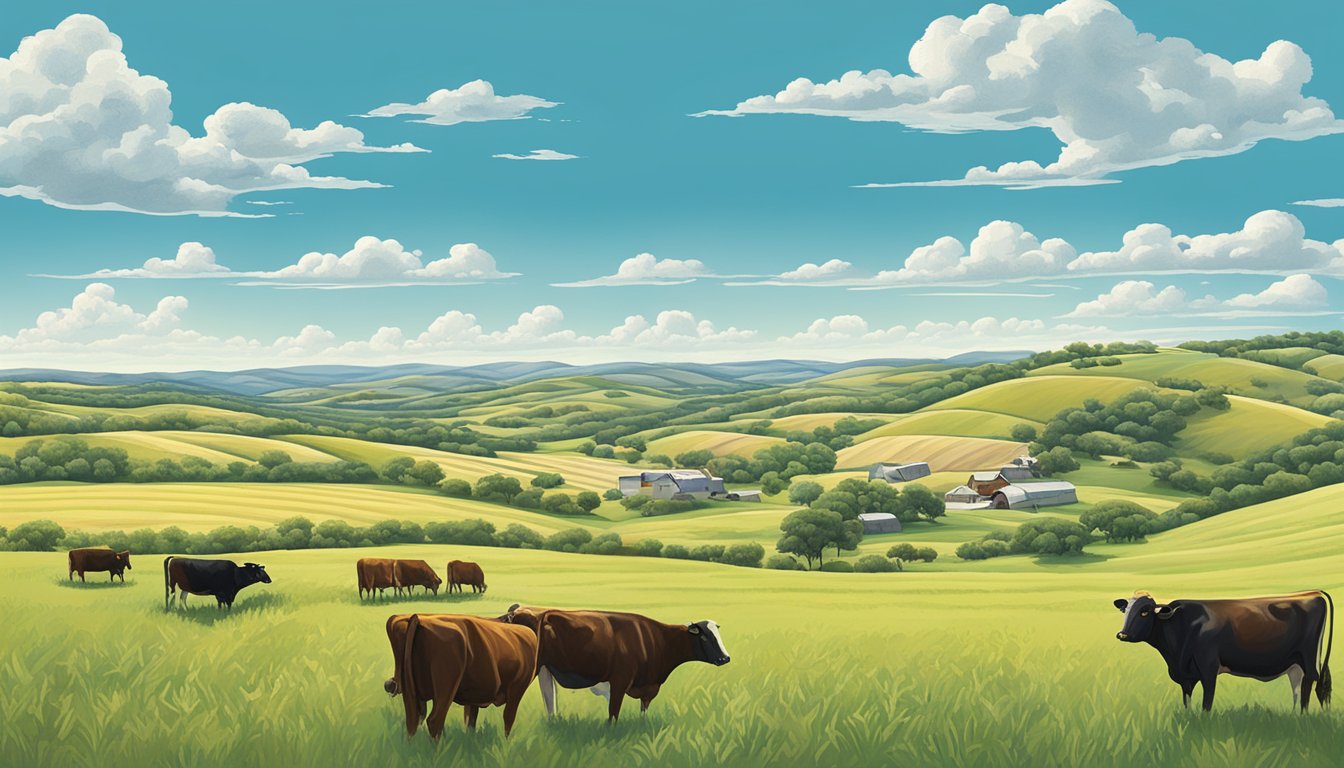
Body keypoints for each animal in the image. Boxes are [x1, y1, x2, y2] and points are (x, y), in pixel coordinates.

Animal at [381, 613, 537, 737]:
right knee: (434, 721)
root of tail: (418, 619)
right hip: (445, 690)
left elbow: (470, 722)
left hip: (412, 692)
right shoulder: (517, 690)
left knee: (413, 721)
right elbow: (508, 720)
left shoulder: (474, 698)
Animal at [499, 607, 731, 720]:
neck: (658, 640)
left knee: (550, 700)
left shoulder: (647, 686)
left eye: (718, 634)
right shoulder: (620, 681)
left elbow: (643, 712)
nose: (725, 658)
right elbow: (613, 713)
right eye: (704, 637)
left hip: (546, 670)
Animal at [1112, 591, 1333, 710]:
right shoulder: (1185, 675)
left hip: (1309, 658)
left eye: (1144, 612)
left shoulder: (1209, 670)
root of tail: (1313, 593)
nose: (1122, 634)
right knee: (1297, 688)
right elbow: (1187, 702)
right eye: (1125, 610)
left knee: (1308, 685)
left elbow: (1206, 704)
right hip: (1295, 664)